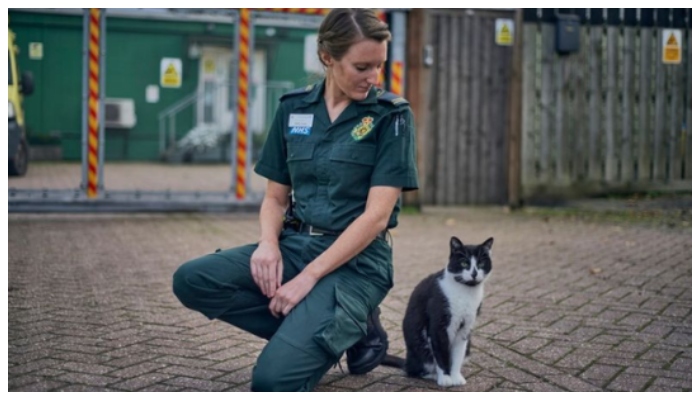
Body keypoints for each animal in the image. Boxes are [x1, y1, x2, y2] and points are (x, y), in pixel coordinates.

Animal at [380, 236, 494, 386]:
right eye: (464, 263)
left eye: (481, 262)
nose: (474, 273)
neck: (466, 292)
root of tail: (407, 361)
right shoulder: (438, 325)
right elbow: (441, 353)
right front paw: (445, 378)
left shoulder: (465, 328)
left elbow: (457, 355)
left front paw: (455, 377)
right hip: (420, 350)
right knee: (414, 371)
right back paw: (433, 375)